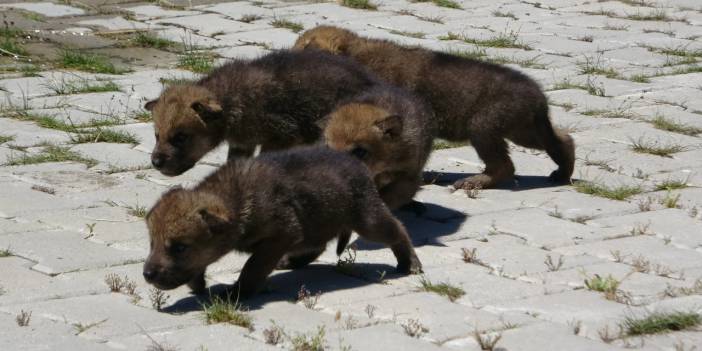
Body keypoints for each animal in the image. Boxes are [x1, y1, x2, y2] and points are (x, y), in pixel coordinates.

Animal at [142, 50, 380, 176]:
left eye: (181, 137)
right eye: (156, 135)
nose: (156, 162)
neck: (231, 103)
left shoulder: (281, 137)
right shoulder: (241, 144)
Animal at [143, 147, 424, 298]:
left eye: (179, 248)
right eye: (151, 244)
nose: (147, 274)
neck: (236, 200)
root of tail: (359, 165)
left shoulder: (282, 234)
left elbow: (253, 267)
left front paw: (237, 293)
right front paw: (197, 284)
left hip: (368, 218)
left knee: (398, 231)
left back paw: (409, 262)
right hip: (317, 218)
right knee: (317, 245)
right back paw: (291, 261)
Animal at [294, 26, 576, 191]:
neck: (356, 54)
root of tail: (538, 98)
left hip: (485, 127)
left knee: (504, 166)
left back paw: (475, 181)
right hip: (523, 129)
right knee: (563, 139)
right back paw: (562, 173)